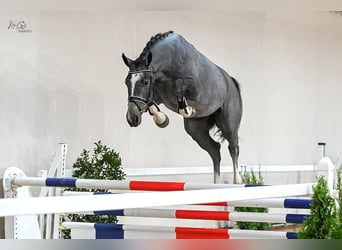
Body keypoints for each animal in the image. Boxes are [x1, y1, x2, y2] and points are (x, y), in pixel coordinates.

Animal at [121, 31, 242, 184]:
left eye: (146, 82)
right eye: (126, 82)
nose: (132, 118)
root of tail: (231, 81)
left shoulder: (195, 89)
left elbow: (179, 86)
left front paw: (187, 109)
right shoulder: (156, 96)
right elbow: (152, 105)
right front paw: (162, 119)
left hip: (228, 124)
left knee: (233, 147)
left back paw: (237, 180)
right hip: (196, 131)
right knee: (215, 150)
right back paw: (217, 182)